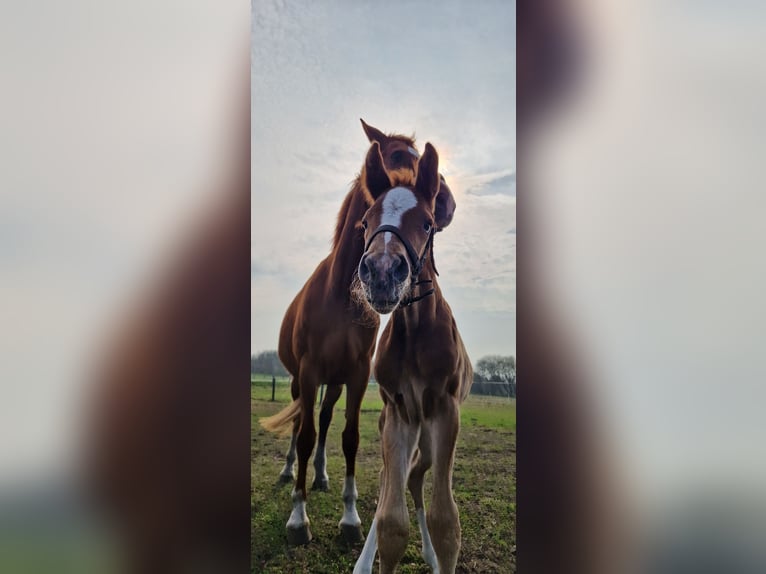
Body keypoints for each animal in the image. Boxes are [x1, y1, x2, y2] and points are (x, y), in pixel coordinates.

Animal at [259, 120, 457, 546]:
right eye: (397, 155)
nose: (447, 203)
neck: (339, 297)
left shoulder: (356, 375)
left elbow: (348, 436)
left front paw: (349, 518)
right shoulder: (309, 371)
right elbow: (304, 434)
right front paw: (298, 518)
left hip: (333, 383)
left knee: (324, 420)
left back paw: (320, 475)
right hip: (299, 380)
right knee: (301, 424)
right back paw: (289, 472)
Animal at [351, 141, 473, 574]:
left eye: (426, 223)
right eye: (366, 222)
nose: (382, 271)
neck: (417, 332)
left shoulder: (446, 411)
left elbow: (446, 522)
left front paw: (438, 554)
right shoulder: (399, 412)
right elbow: (391, 522)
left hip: (430, 436)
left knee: (415, 477)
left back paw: (429, 555)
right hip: (396, 424)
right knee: (393, 478)